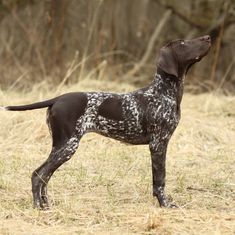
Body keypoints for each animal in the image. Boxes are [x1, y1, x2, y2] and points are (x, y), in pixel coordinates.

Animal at [0, 35, 211, 209]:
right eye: (182, 43)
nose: (208, 37)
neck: (163, 92)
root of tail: (57, 99)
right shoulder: (158, 144)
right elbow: (160, 179)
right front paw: (165, 204)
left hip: (61, 146)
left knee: (45, 176)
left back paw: (46, 204)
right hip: (67, 145)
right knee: (38, 175)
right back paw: (39, 207)